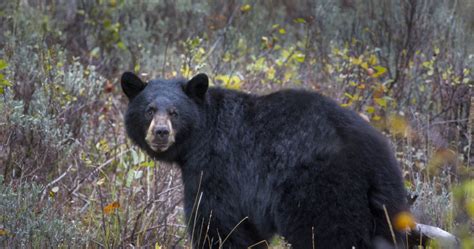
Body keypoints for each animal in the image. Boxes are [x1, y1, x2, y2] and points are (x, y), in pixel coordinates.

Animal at [121, 71, 412, 248]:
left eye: (174, 112)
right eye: (149, 110)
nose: (161, 132)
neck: (200, 138)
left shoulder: (219, 168)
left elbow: (217, 222)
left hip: (324, 194)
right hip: (385, 204)